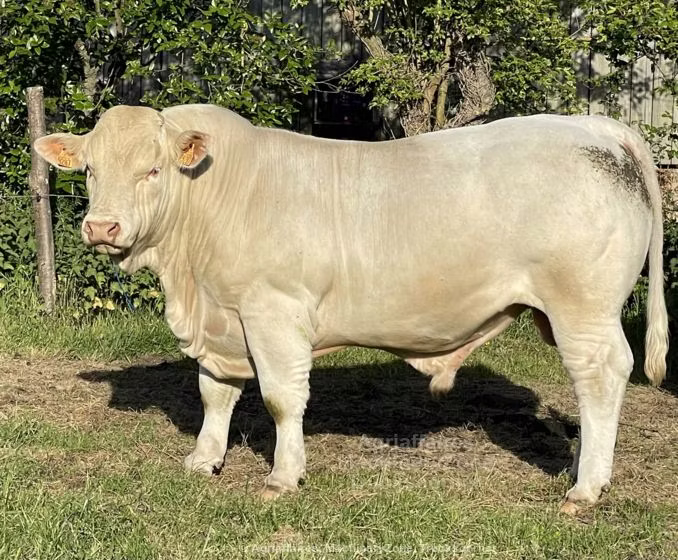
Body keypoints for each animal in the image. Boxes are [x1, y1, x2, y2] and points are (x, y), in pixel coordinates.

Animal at [34, 104, 668, 513]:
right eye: (90, 170)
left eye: (153, 169)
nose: (101, 227)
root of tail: (594, 126)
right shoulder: (222, 320)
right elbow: (215, 393)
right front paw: (204, 459)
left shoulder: (274, 311)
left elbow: (281, 399)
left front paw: (283, 475)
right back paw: (581, 468)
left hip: (582, 306)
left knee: (601, 376)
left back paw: (586, 488)